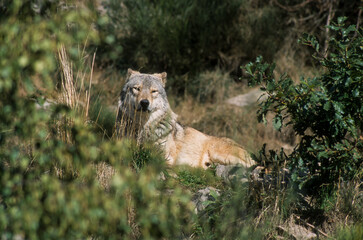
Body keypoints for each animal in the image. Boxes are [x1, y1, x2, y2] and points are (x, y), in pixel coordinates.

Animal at [116, 68, 256, 169]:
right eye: (137, 88)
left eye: (153, 91)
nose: (144, 103)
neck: (143, 128)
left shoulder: (164, 157)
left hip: (221, 154)